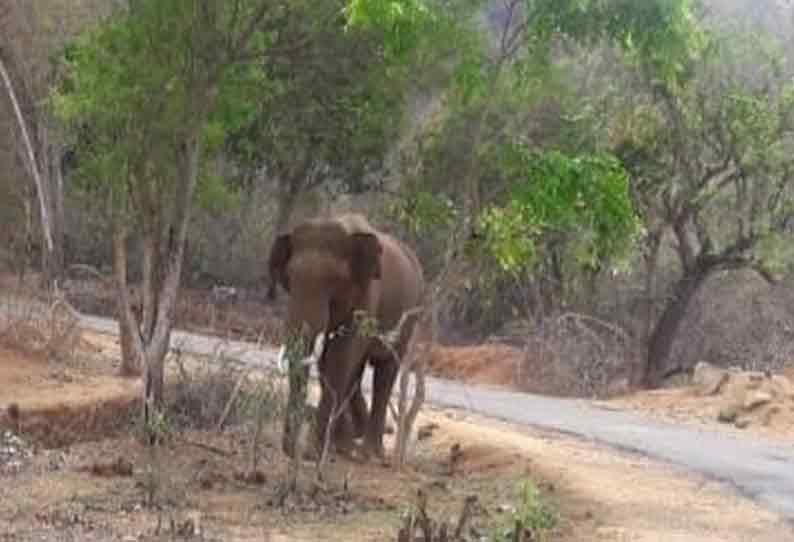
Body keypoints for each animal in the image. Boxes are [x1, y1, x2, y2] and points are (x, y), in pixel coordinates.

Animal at [266, 215, 424, 462]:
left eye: (334, 280)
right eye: (290, 277)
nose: (292, 452)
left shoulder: (368, 295)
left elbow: (339, 359)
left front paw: (314, 452)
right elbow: (331, 362)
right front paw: (328, 448)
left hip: (410, 314)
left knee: (385, 369)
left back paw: (369, 453)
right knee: (356, 370)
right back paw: (348, 443)